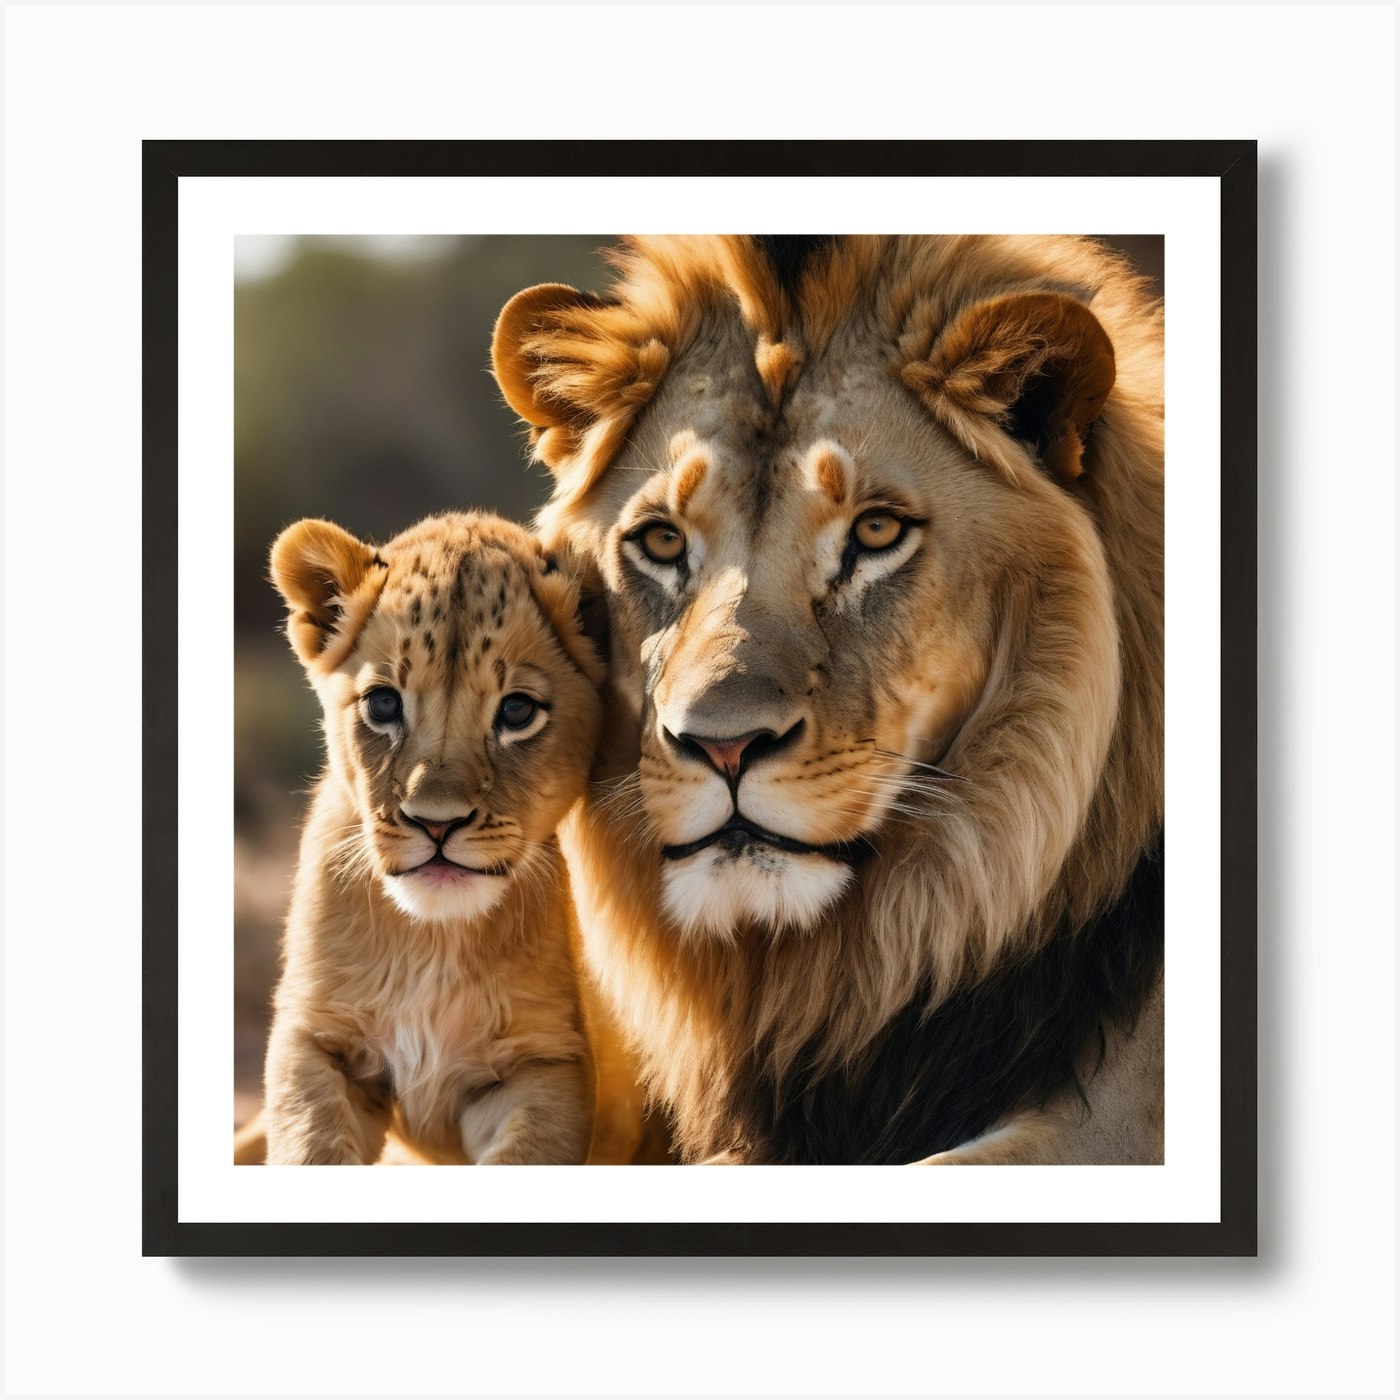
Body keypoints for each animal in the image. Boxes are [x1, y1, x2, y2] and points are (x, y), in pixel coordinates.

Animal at [257, 510, 608, 1165]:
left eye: (517, 712)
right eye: (383, 704)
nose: (436, 823)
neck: (432, 944)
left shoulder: (546, 1062)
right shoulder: (313, 1035)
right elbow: (311, 1143)